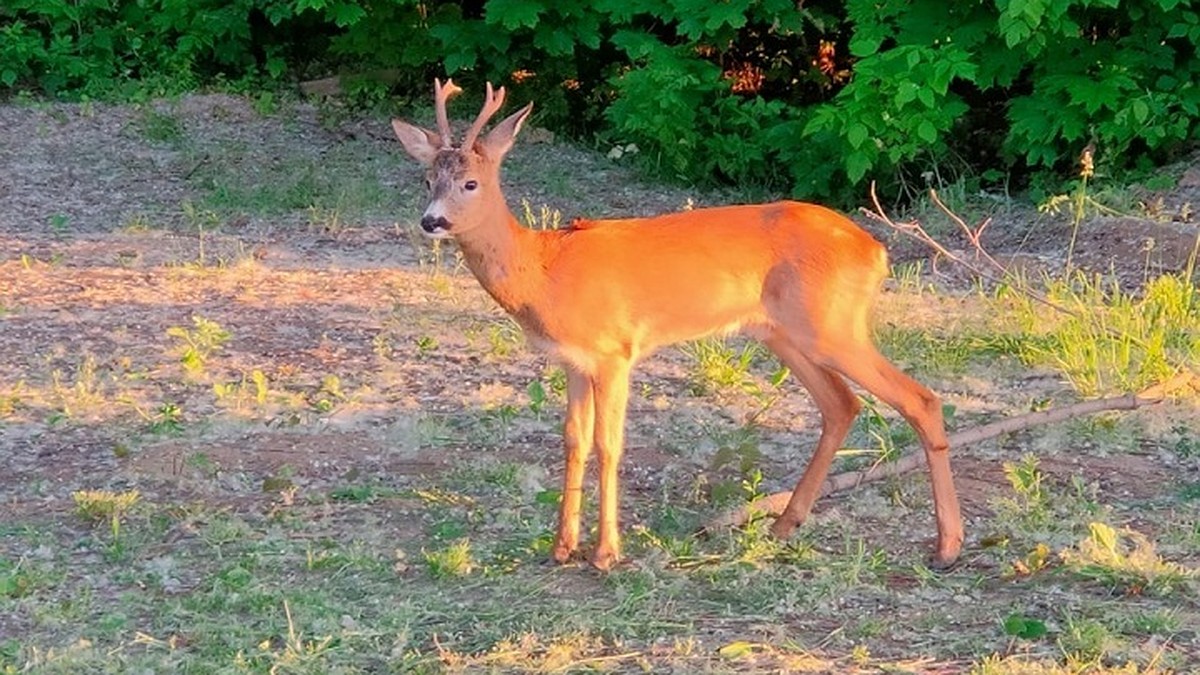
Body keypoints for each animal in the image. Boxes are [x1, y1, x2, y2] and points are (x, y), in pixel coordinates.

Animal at [393, 81, 964, 569]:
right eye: (427, 179)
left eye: (471, 182)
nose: (432, 221)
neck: (543, 267)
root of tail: (877, 250)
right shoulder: (573, 360)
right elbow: (574, 440)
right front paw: (562, 547)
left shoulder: (615, 350)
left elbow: (609, 444)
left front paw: (606, 553)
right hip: (784, 333)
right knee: (842, 405)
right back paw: (784, 524)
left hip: (833, 326)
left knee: (919, 399)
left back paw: (947, 547)